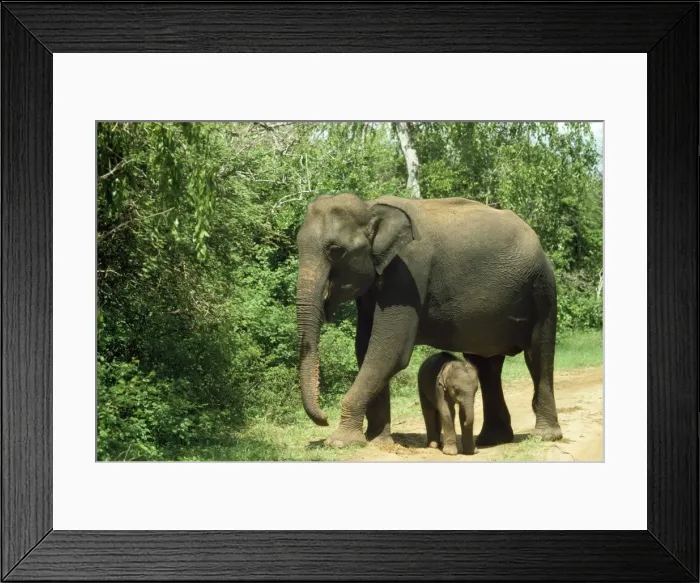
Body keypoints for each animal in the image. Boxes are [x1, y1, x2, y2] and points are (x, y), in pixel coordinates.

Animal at [295, 192, 562, 448]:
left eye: (335, 250)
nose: (324, 417)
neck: (371, 206)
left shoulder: (407, 273)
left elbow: (389, 351)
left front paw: (341, 442)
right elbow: (364, 348)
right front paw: (378, 441)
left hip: (542, 289)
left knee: (538, 355)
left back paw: (545, 436)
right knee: (486, 365)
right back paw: (493, 440)